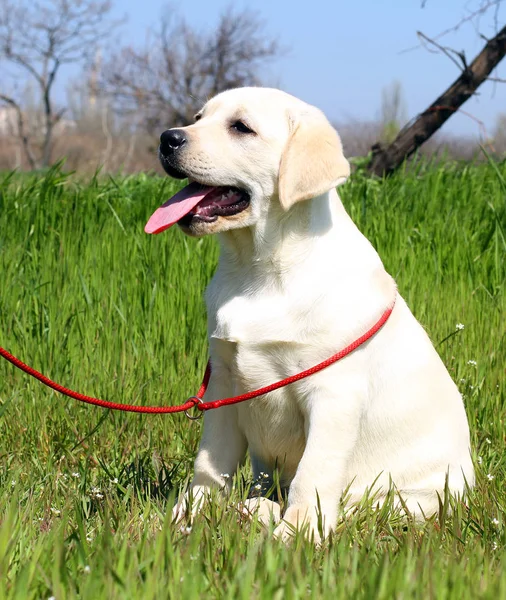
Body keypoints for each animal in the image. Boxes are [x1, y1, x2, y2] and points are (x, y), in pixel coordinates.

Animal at [145, 86, 474, 540]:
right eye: (198, 118)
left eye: (240, 127)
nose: (167, 138)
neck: (258, 267)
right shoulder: (224, 384)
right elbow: (211, 463)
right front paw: (187, 515)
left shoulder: (332, 393)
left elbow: (313, 474)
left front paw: (296, 534)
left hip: (410, 498)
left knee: (362, 507)